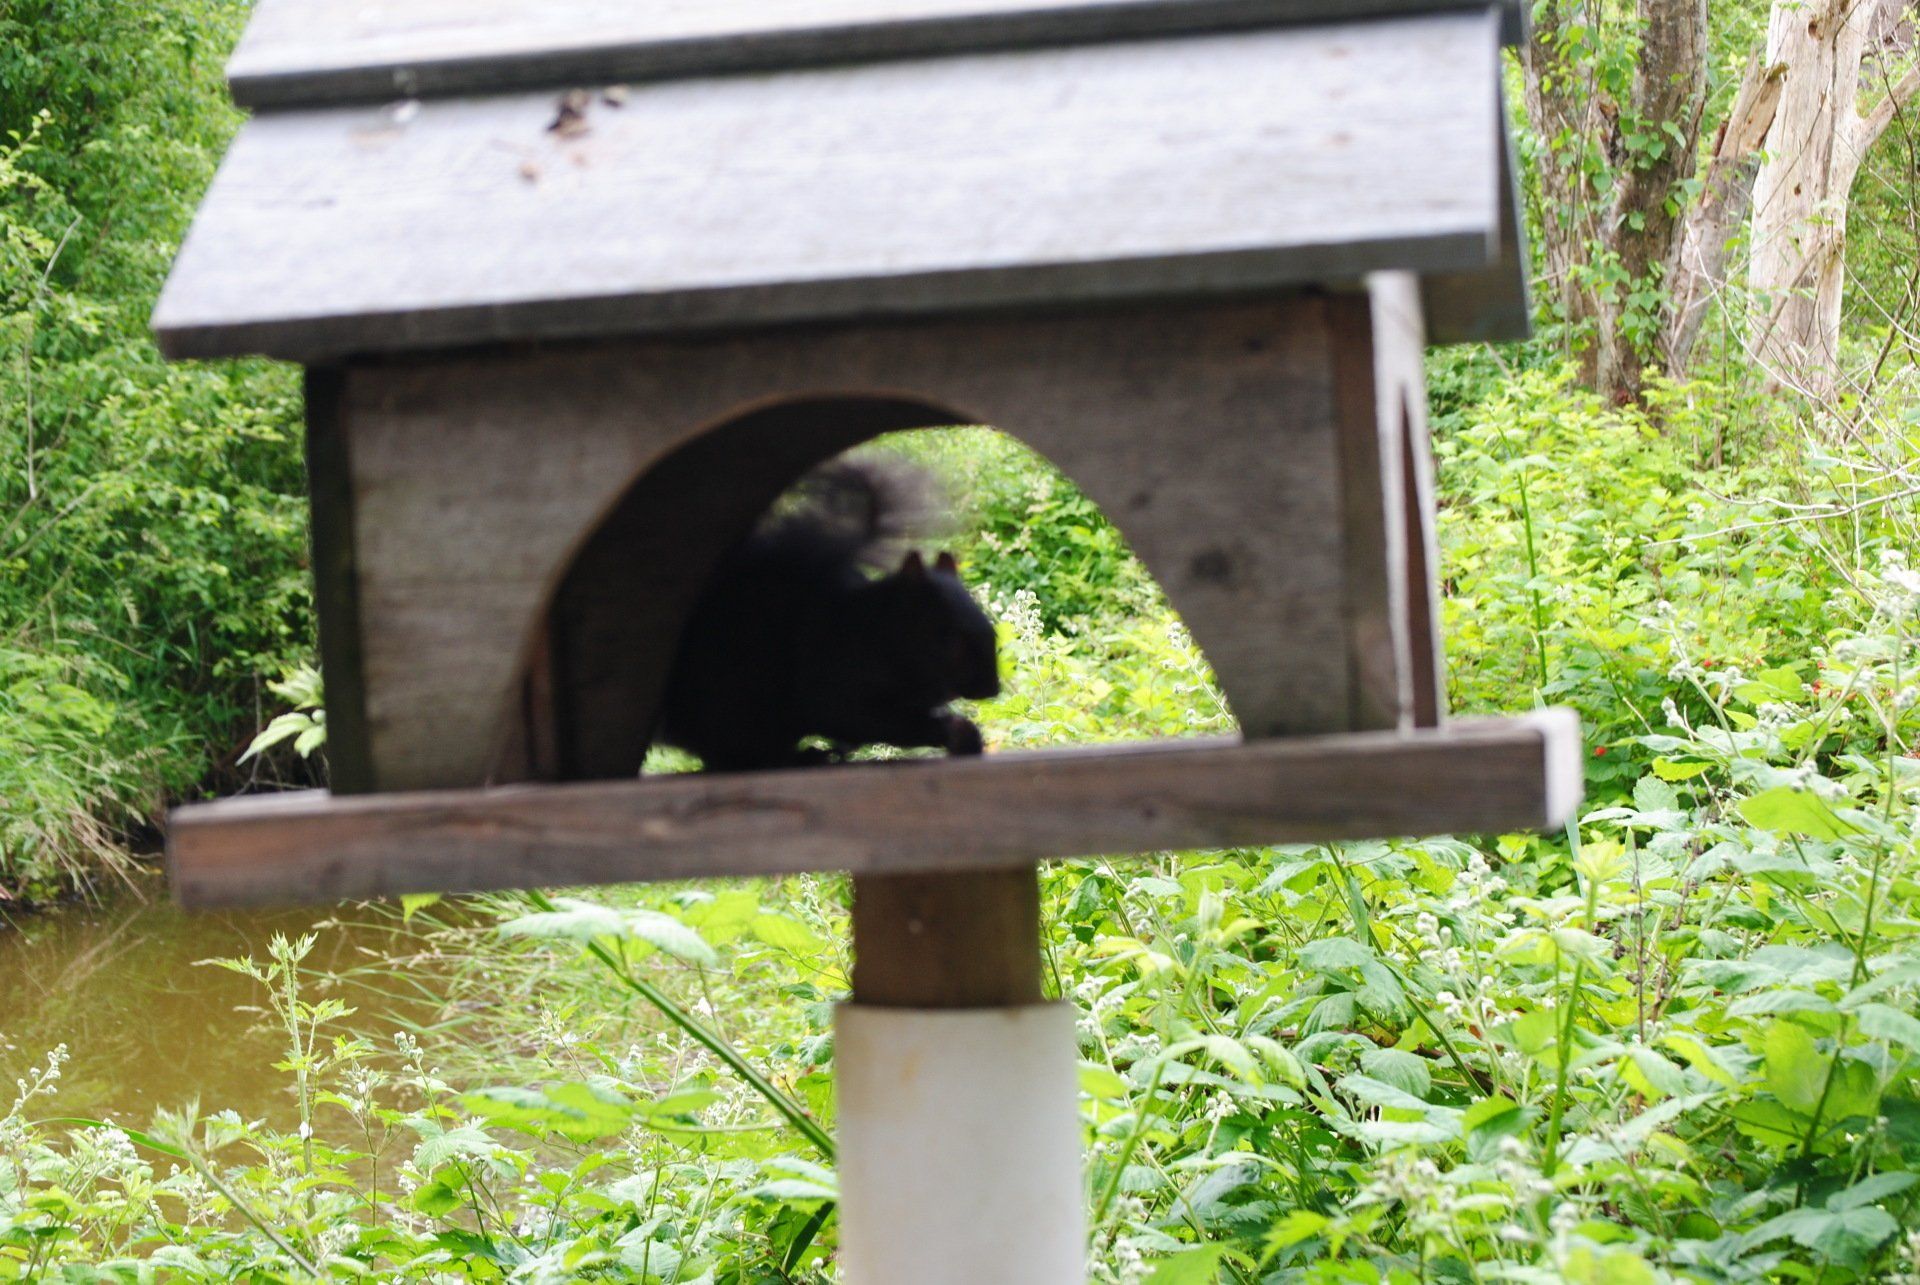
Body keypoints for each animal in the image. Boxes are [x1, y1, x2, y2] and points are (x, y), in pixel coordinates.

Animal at [654, 457, 1001, 773]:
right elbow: (865, 718)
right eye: (951, 639)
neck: (875, 632)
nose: (993, 688)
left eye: (991, 631)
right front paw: (949, 730)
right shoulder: (831, 678)